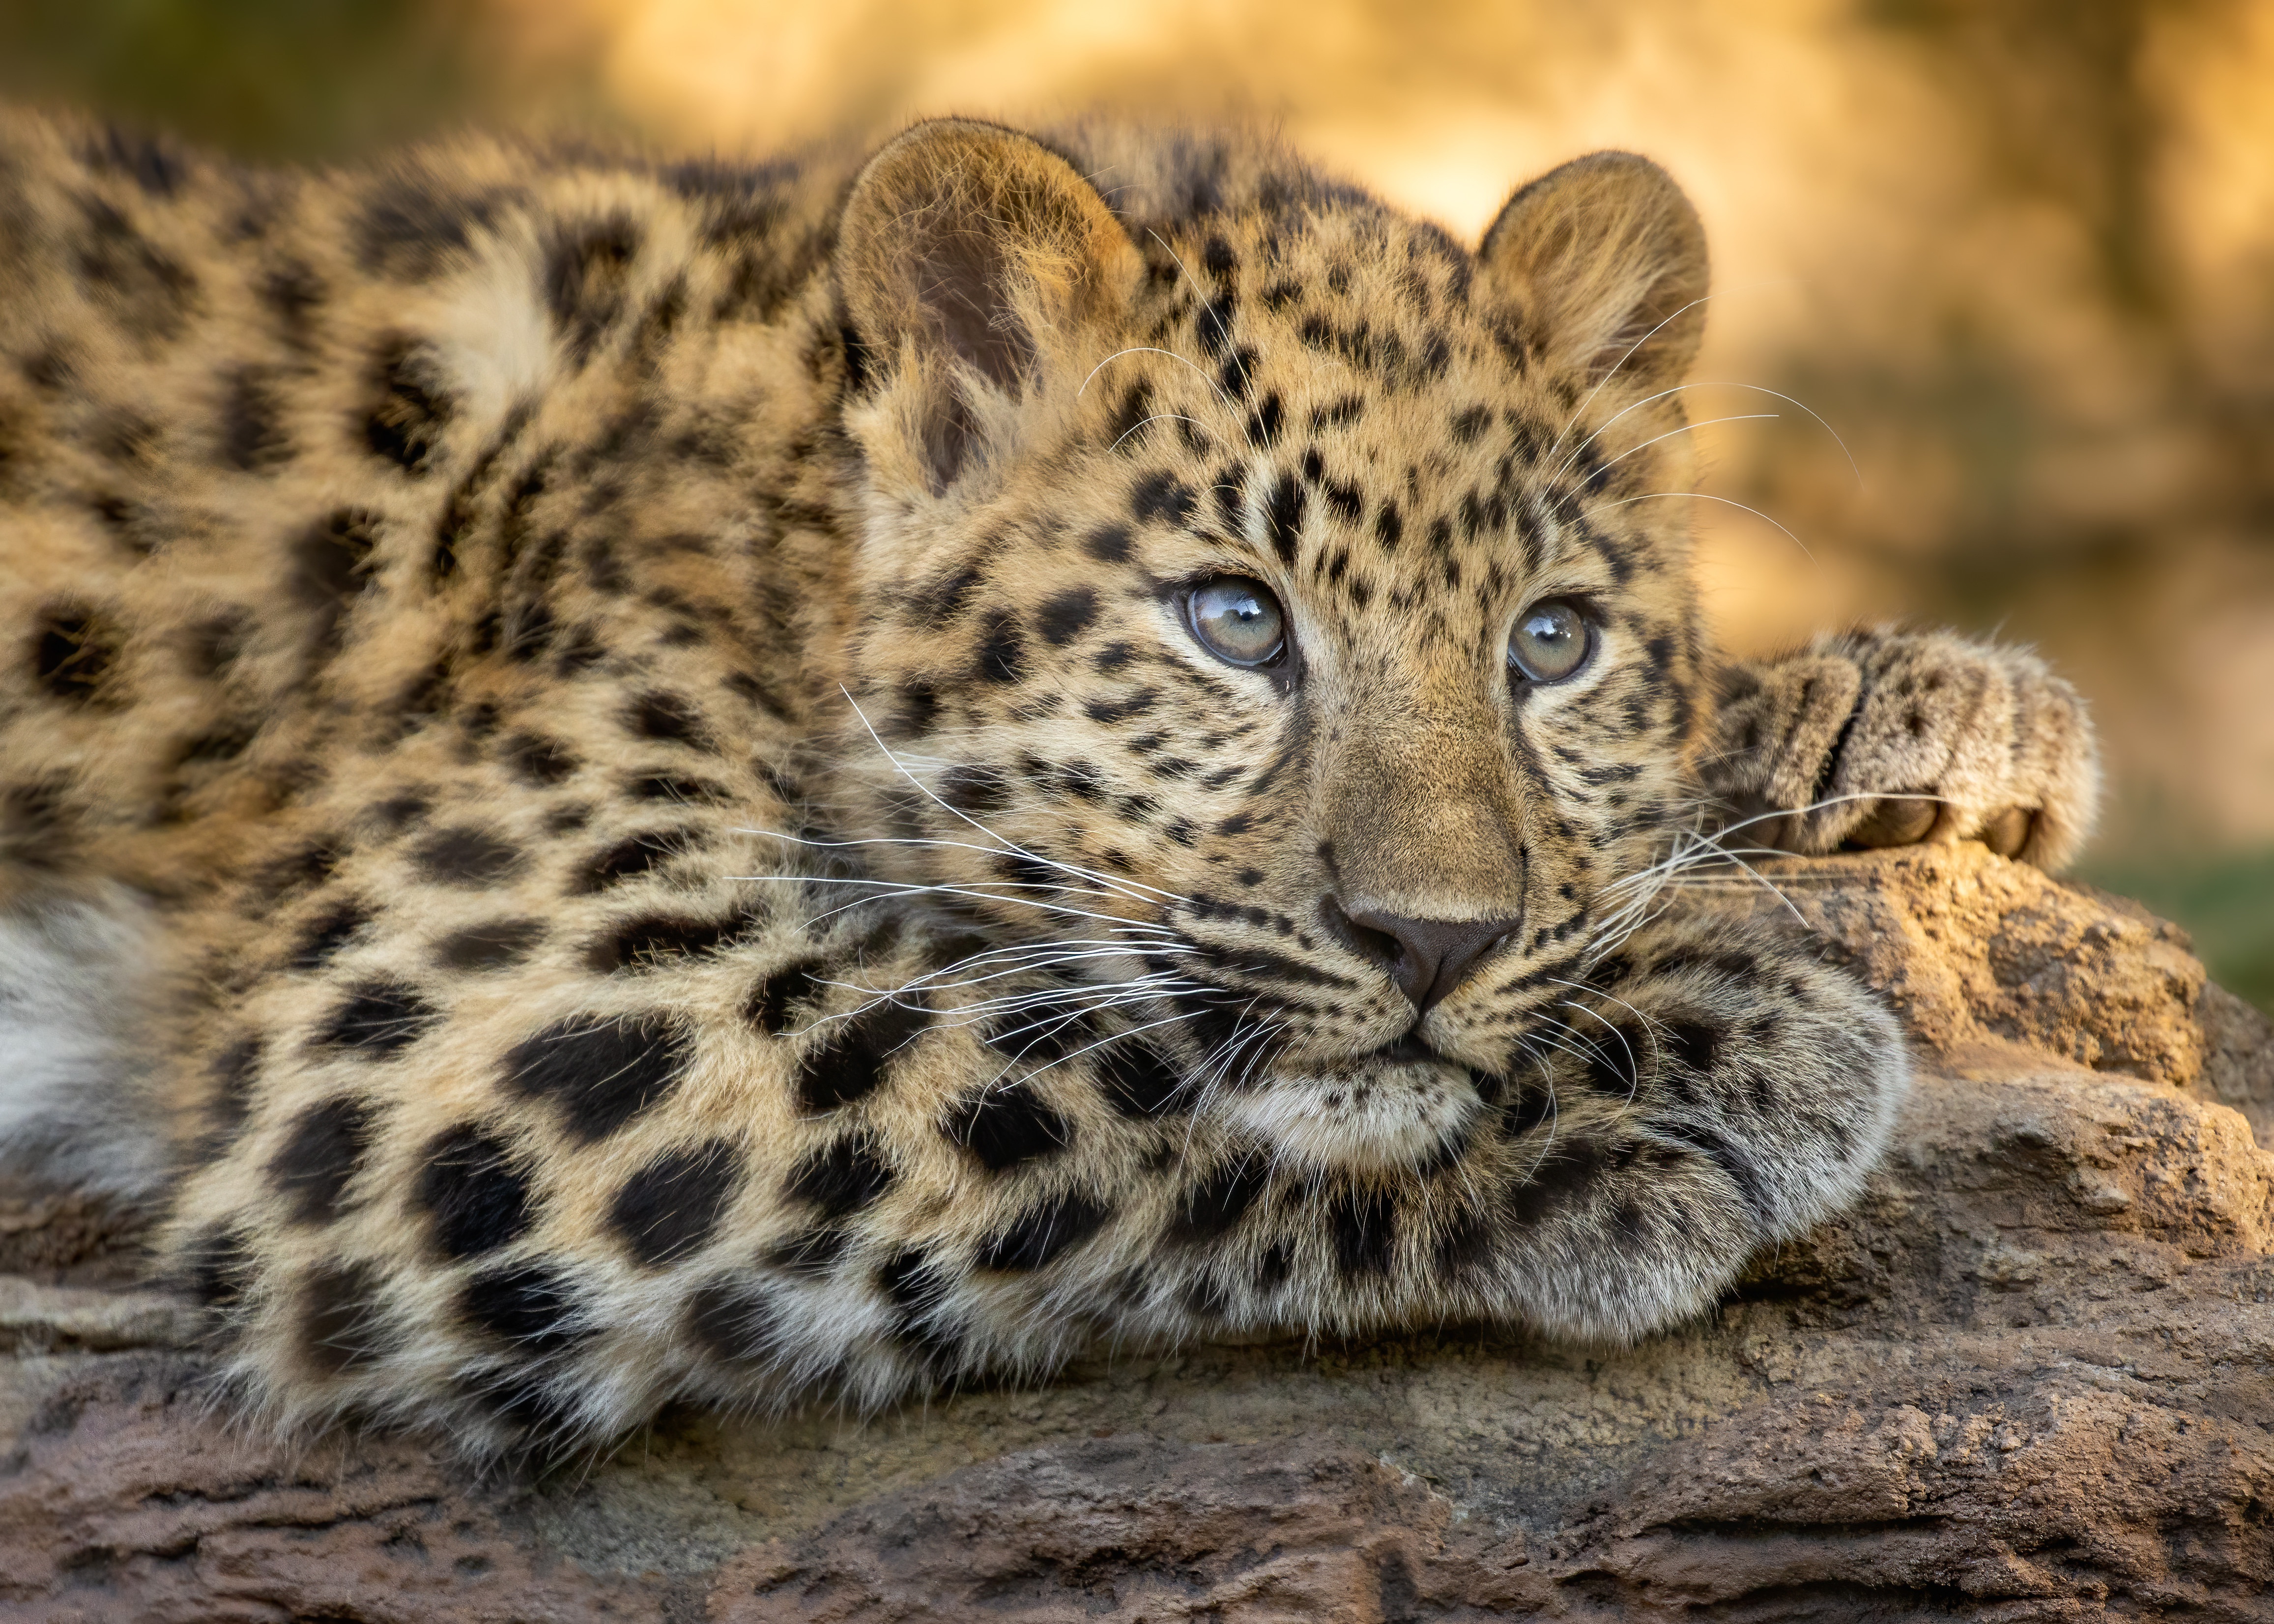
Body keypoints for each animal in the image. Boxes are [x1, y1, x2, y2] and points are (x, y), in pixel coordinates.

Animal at [0, 114, 2092, 1455]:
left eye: (1549, 644)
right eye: (1233, 621)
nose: (1431, 942)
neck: (761, 487)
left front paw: (1900, 707)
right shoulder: (458, 1008)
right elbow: (1038, 1057)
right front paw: (1700, 1052)